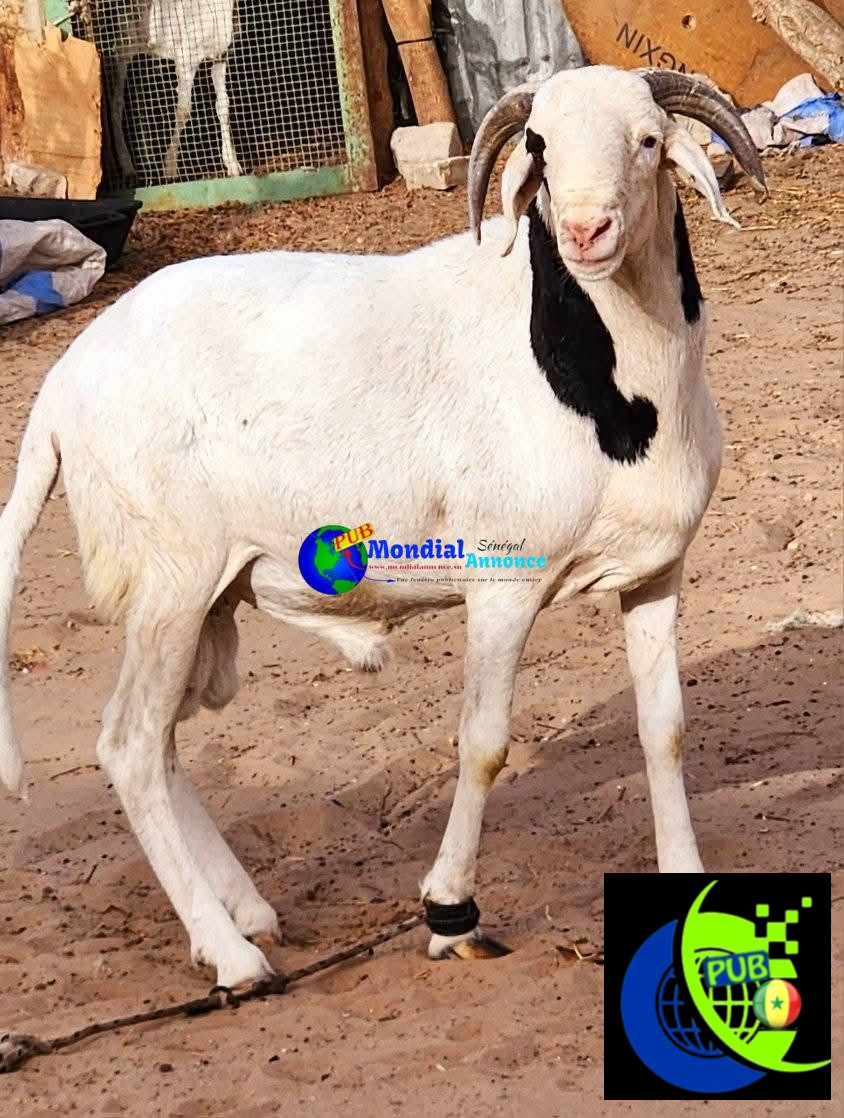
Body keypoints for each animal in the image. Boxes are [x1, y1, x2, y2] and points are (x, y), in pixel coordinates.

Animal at [0, 66, 765, 989]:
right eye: (540, 145)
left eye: (648, 140)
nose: (587, 231)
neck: (603, 378)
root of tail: (61, 389)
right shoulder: (503, 583)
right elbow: (484, 743)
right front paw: (450, 912)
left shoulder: (655, 576)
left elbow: (666, 731)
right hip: (170, 580)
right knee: (129, 746)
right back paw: (231, 956)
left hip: (204, 596)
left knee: (167, 743)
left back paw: (244, 912)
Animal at [100, 0, 242, 182]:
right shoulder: (186, 57)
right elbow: (183, 111)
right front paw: (170, 169)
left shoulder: (221, 55)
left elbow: (223, 106)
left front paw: (233, 165)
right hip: (122, 47)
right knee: (116, 103)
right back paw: (128, 168)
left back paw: (145, 160)